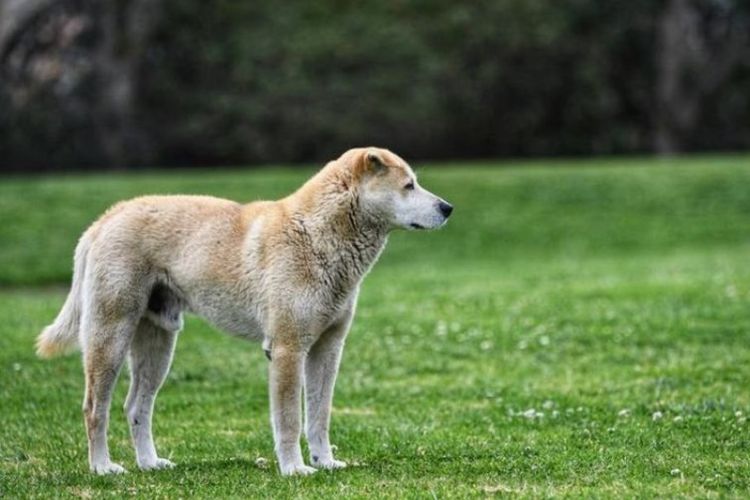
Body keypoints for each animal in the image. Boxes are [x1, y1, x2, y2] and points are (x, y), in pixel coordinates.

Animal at [36, 146, 452, 474]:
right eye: (408, 185)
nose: (448, 208)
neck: (316, 235)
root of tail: (106, 218)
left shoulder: (328, 349)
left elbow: (319, 416)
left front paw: (325, 462)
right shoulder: (287, 349)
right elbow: (289, 419)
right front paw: (294, 469)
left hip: (159, 343)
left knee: (136, 406)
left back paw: (150, 464)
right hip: (110, 336)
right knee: (95, 407)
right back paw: (103, 467)